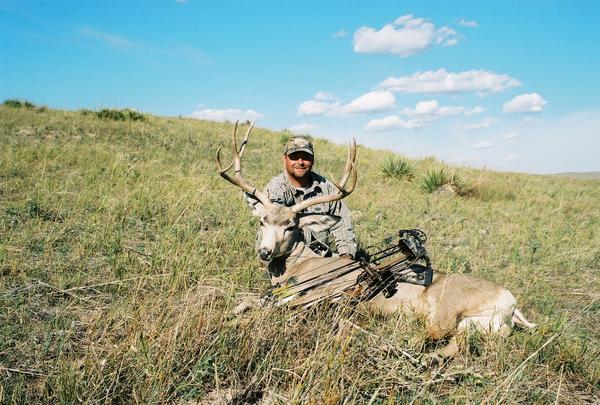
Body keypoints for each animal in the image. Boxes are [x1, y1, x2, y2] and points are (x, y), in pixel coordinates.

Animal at [217, 120, 540, 360]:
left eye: (290, 225)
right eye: (262, 220)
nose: (264, 251)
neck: (298, 267)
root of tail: (510, 303)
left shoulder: (316, 294)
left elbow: (268, 307)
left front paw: (234, 321)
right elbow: (248, 300)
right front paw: (231, 310)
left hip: (448, 309)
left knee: (431, 335)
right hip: (475, 326)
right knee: (454, 345)